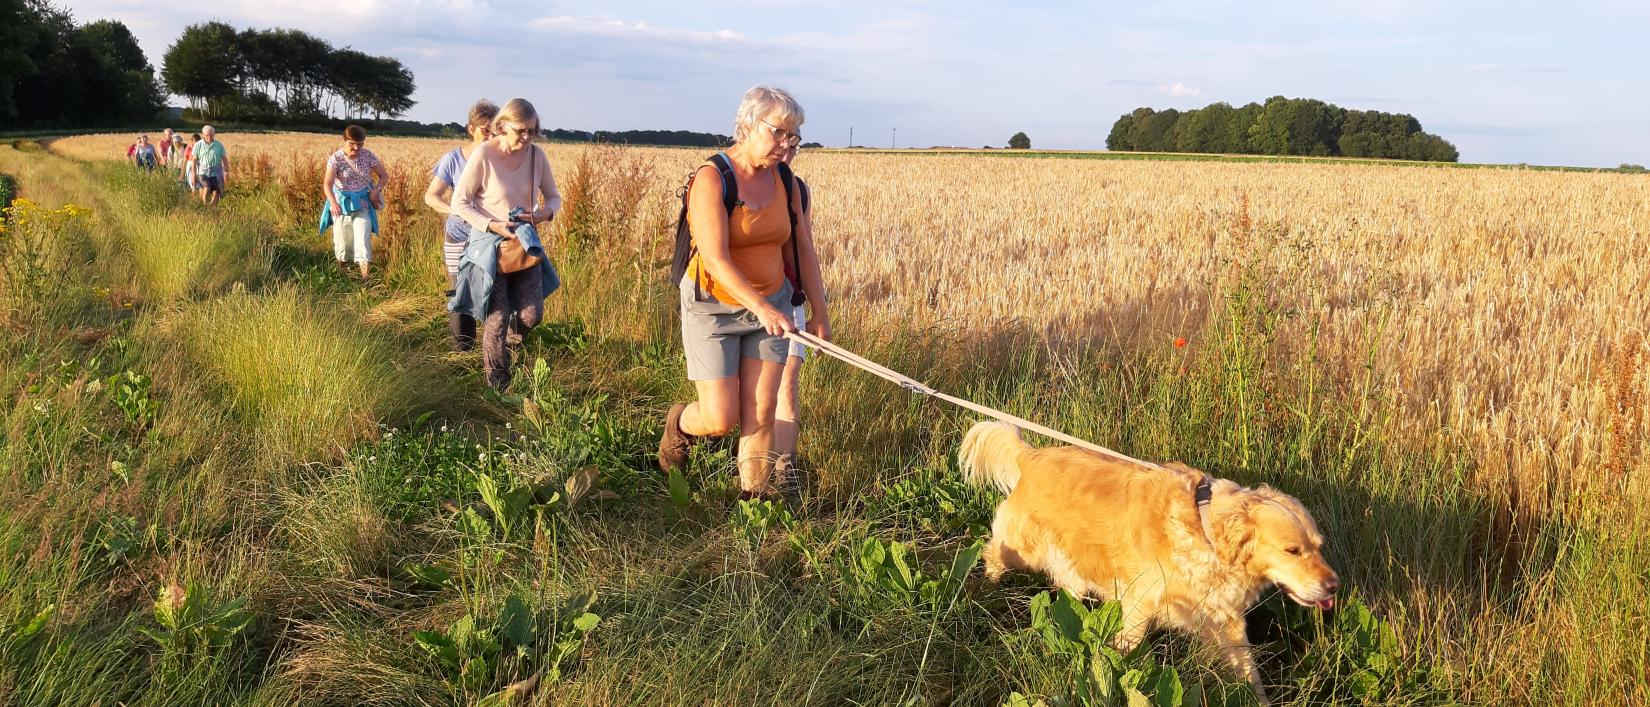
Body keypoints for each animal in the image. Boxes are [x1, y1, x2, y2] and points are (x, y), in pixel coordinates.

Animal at [963, 419, 1333, 700]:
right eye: (1292, 550)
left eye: (1318, 546)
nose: (1334, 585)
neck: (1203, 532)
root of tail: (1032, 455)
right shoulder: (1138, 606)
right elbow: (1122, 654)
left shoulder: (1226, 621)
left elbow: (1248, 673)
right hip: (1023, 549)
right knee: (992, 554)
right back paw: (986, 589)